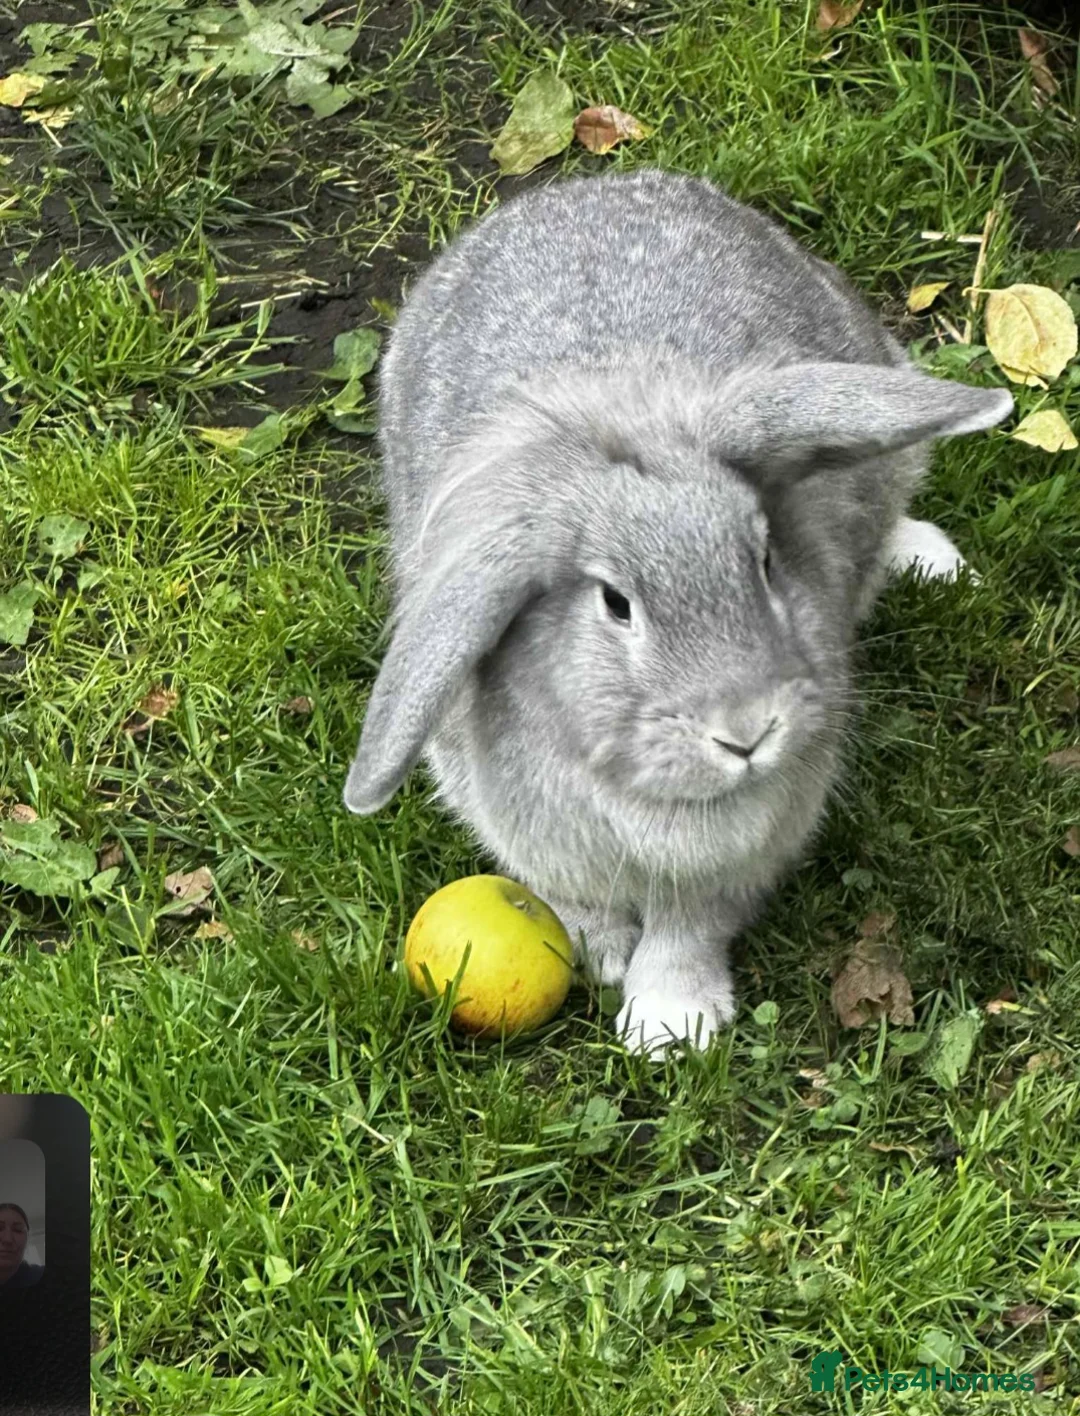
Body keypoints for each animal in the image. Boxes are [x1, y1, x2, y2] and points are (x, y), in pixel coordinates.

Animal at [342, 167, 1012, 1056]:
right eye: (615, 603)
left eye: (765, 559)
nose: (748, 732)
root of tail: (596, 184)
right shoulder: (535, 836)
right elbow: (578, 903)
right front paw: (599, 956)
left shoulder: (739, 857)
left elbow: (690, 928)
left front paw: (670, 1021)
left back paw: (931, 559)